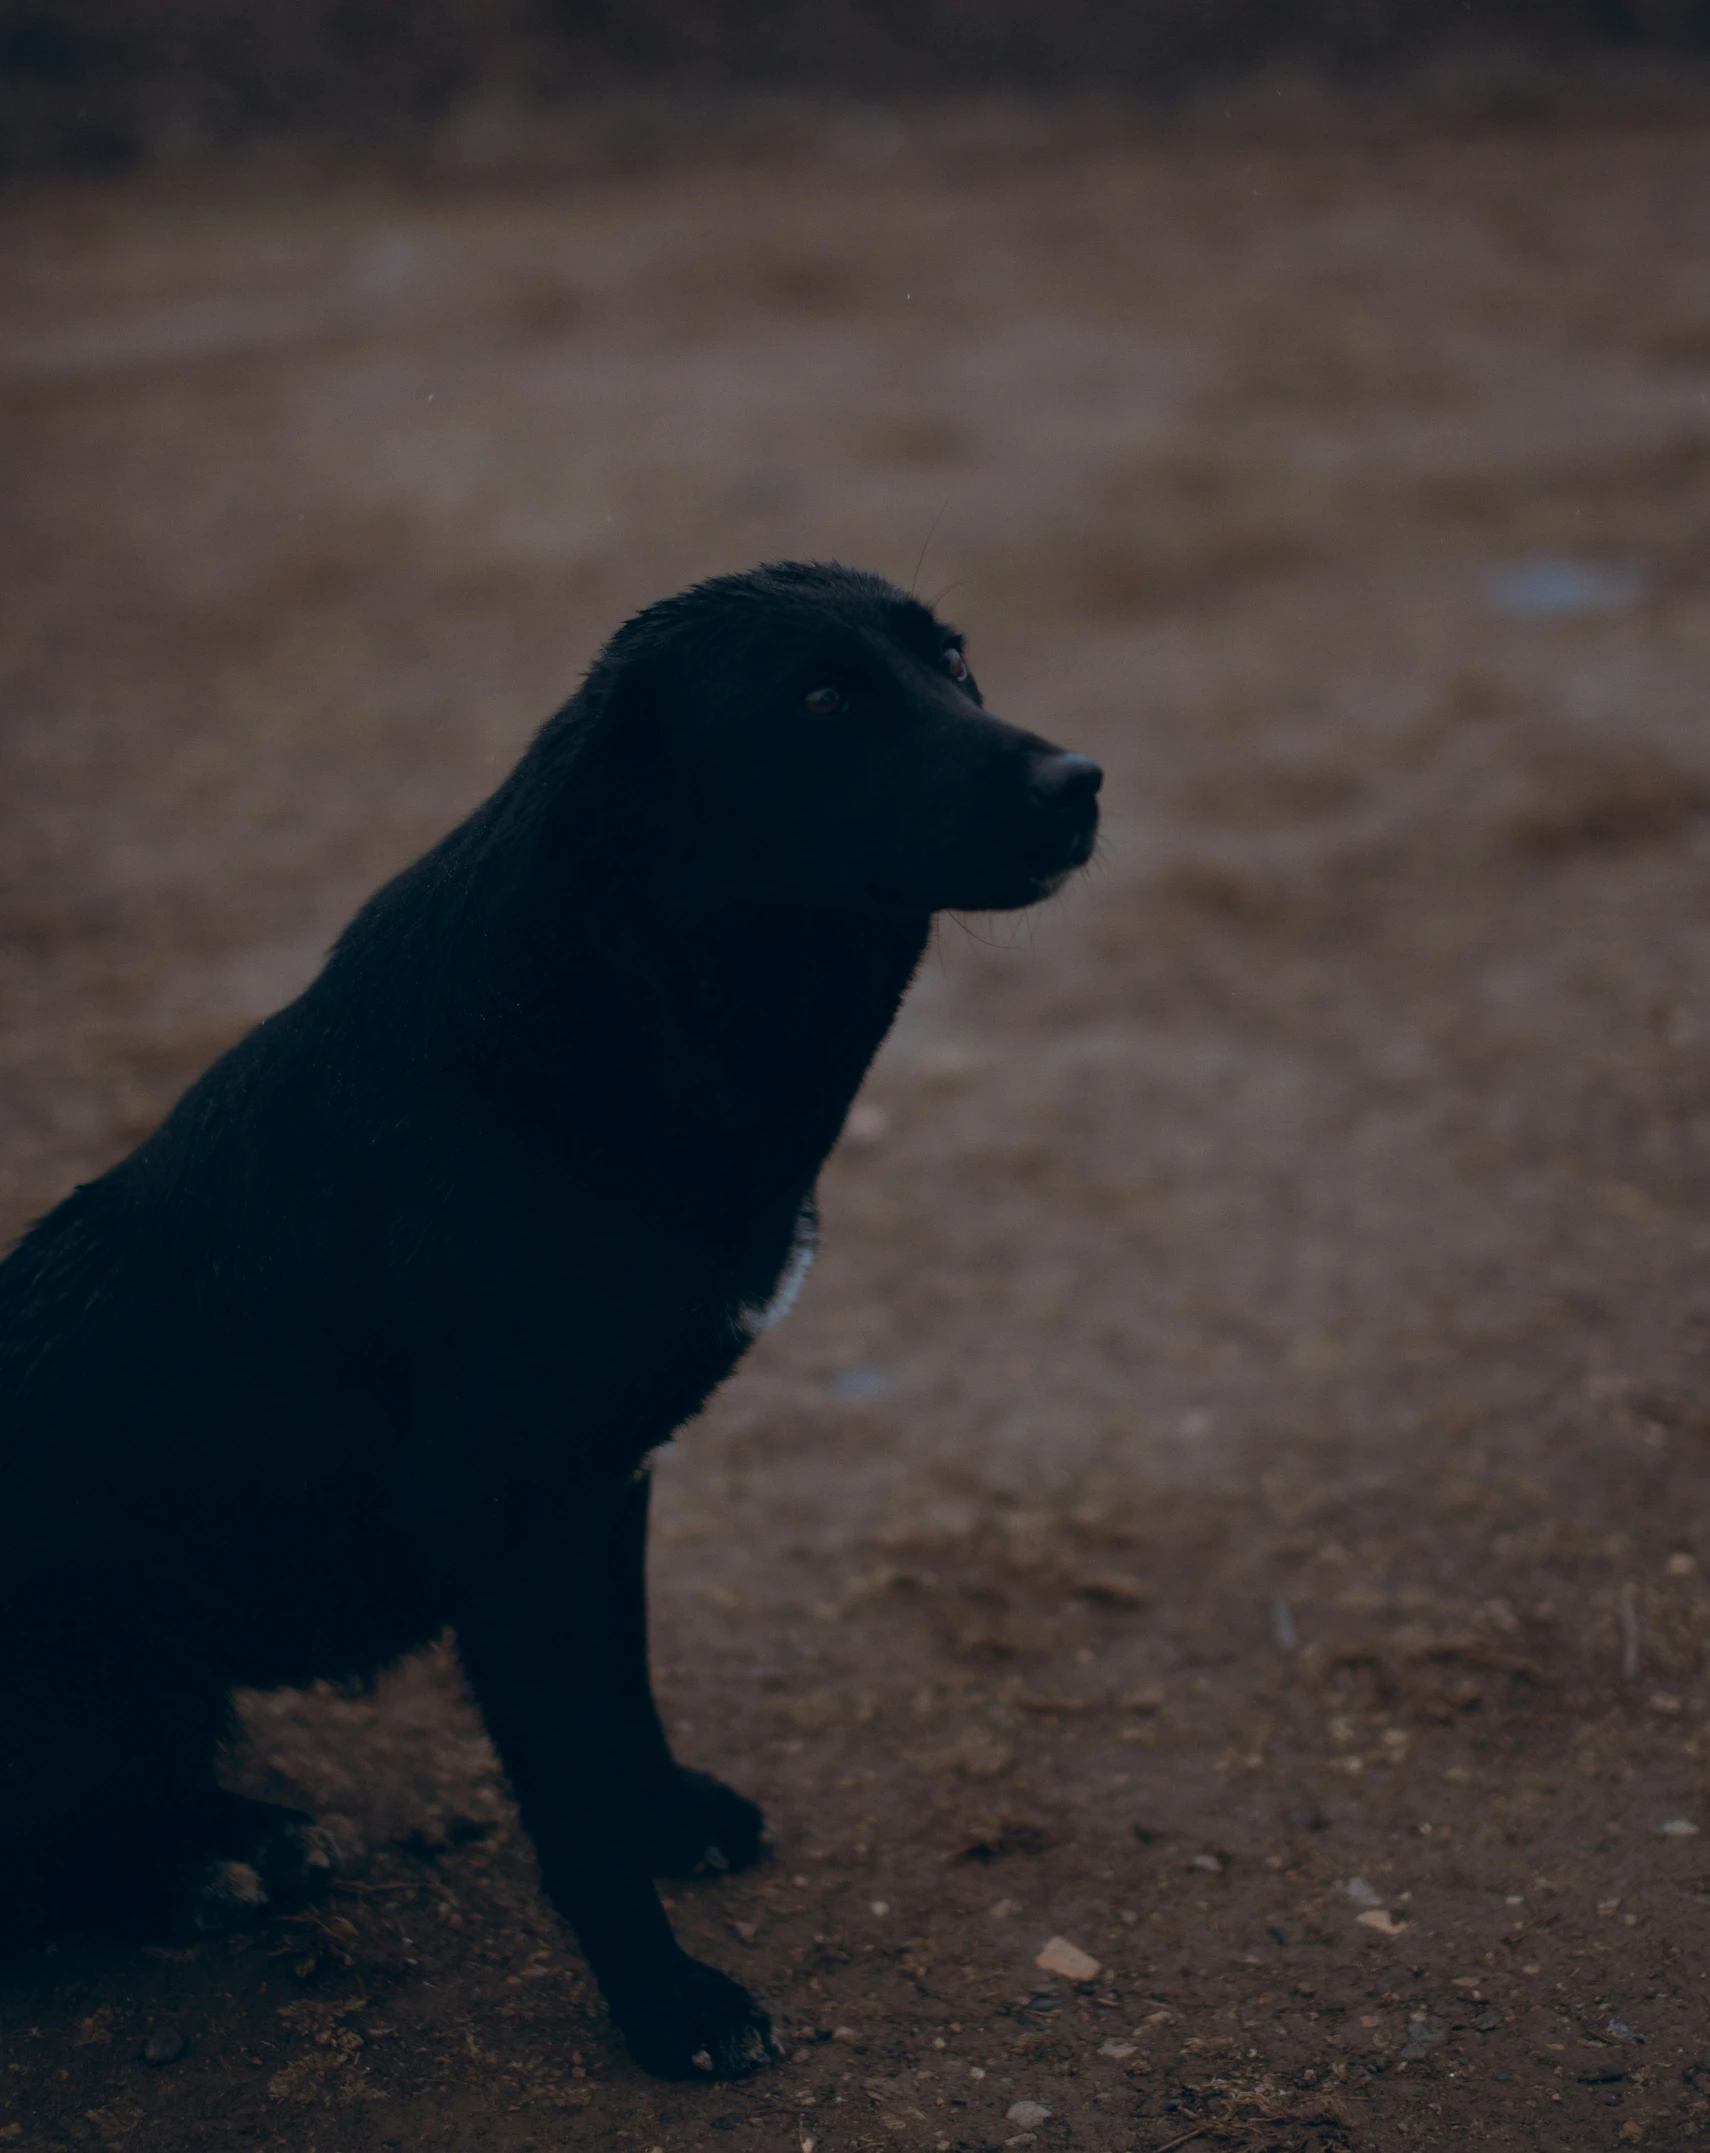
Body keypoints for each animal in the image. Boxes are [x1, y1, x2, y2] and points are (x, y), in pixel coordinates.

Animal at [0, 564, 1094, 2075]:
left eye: (954, 663)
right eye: (821, 699)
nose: (1082, 781)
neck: (641, 1013)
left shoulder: (603, 1476)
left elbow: (621, 1693)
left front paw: (670, 1816)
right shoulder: (497, 1508)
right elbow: (570, 1797)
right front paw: (669, 2006)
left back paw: (242, 1839)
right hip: (89, 1676)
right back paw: (194, 1870)